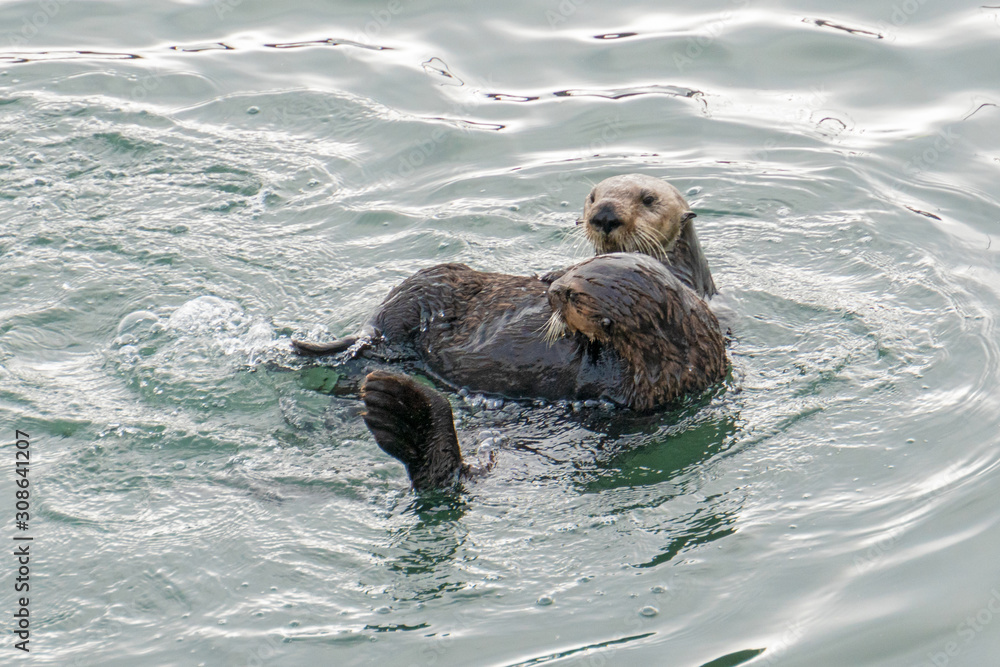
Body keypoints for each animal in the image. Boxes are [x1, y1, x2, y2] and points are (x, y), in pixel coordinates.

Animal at [359, 253, 728, 490]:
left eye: (573, 296)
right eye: (574, 271)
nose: (552, 292)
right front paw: (545, 275)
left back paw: (400, 407)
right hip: (434, 283)